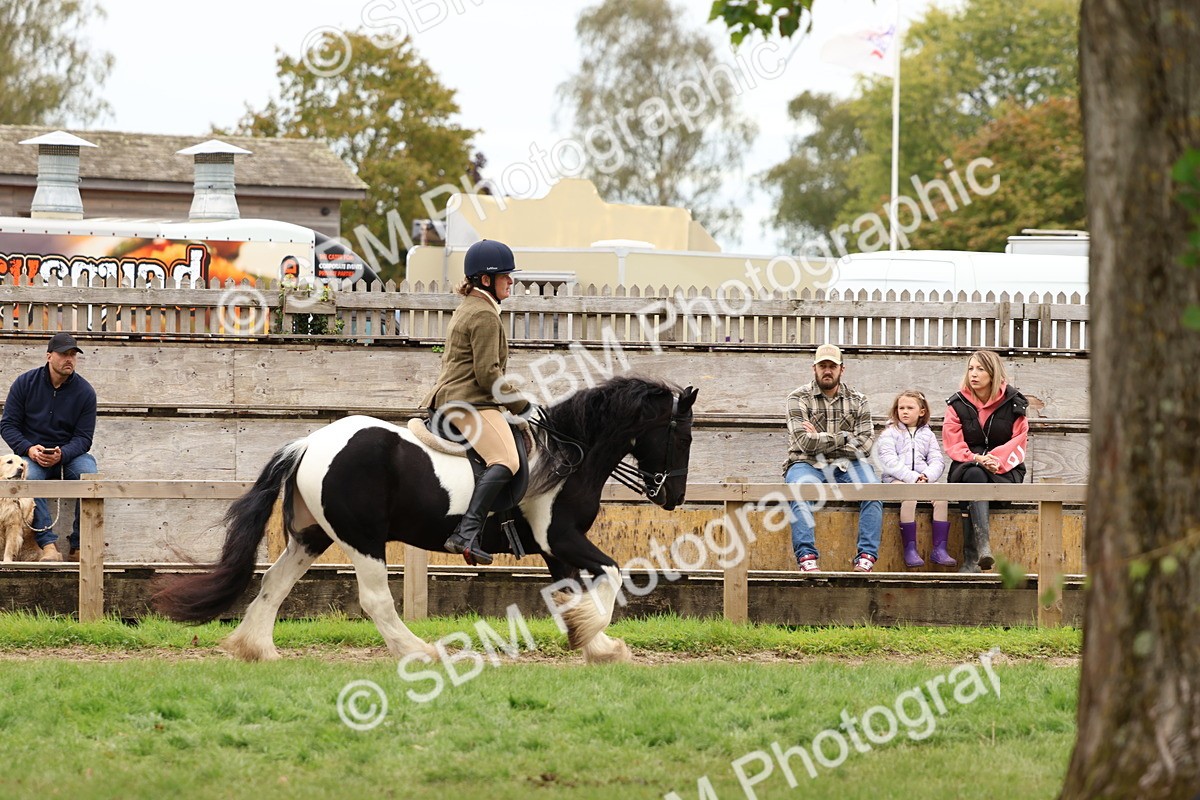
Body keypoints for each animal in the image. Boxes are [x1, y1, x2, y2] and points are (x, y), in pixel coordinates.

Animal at [153, 376, 698, 664]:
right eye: (684, 437)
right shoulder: (561, 536)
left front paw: (595, 642)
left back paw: (257, 649)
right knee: (375, 599)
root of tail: (308, 442)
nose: (672, 496)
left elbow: (573, 594)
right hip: (363, 538)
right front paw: (597, 637)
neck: (570, 453)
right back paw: (419, 650)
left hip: (311, 537)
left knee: (275, 583)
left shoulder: (553, 548)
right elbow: (611, 573)